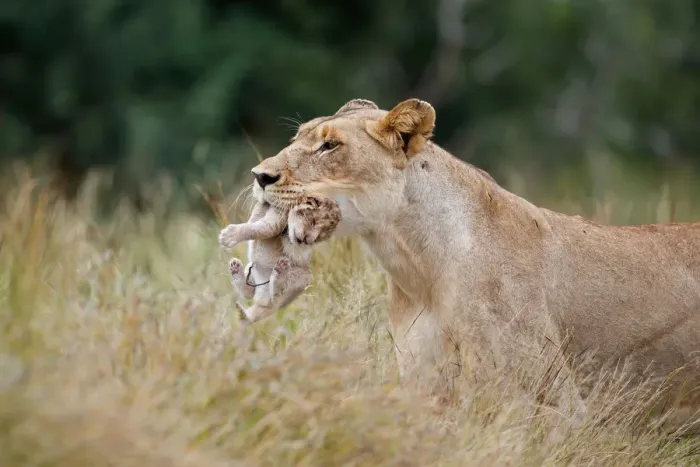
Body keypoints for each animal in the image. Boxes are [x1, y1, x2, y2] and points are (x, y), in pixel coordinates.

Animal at [218, 195, 341, 324]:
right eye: (313, 222)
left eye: (320, 235)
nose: (306, 240)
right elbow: (255, 218)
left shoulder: (275, 222)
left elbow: (258, 229)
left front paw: (228, 236)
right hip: (251, 270)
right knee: (249, 293)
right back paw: (236, 269)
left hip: (303, 277)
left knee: (276, 296)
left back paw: (279, 271)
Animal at [243, 97, 700, 431]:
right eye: (298, 137)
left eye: (330, 145)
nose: (259, 176)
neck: (418, 266)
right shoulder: (423, 381)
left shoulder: (554, 402)